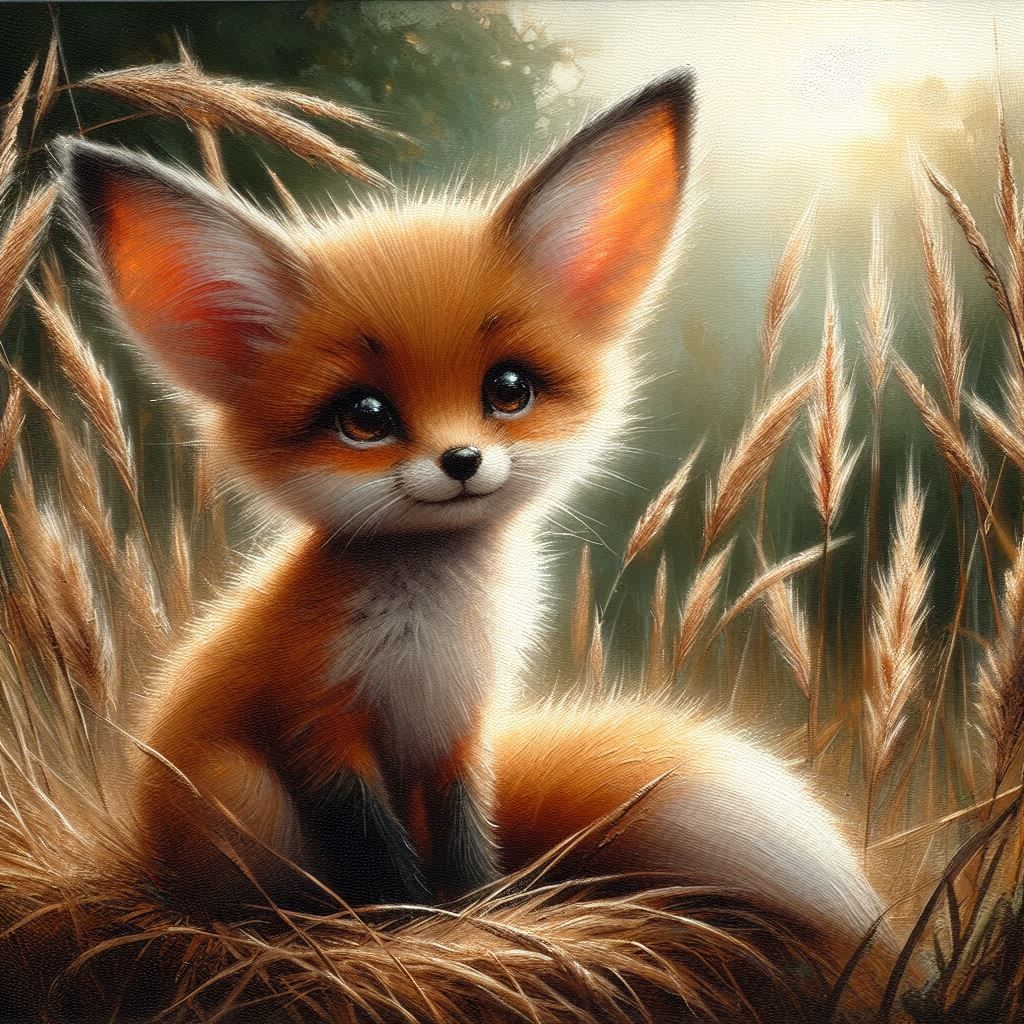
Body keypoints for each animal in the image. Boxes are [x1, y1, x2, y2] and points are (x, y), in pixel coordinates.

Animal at [60, 71, 885, 970]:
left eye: (509, 389)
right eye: (365, 417)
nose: (461, 461)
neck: (433, 633)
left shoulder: (462, 731)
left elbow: (465, 845)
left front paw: (485, 919)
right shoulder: (319, 729)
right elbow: (384, 859)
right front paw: (417, 935)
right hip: (243, 794)